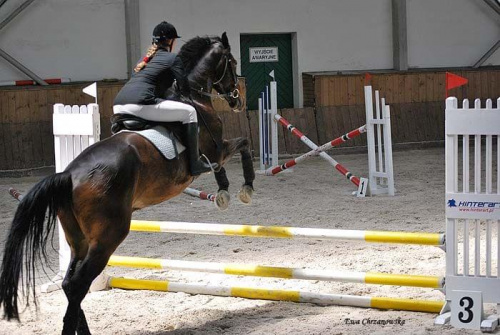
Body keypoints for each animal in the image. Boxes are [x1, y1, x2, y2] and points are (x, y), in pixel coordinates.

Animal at [0, 32, 256, 335]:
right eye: (232, 62)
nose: (237, 101)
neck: (194, 95)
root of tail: (69, 175)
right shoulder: (216, 152)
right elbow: (242, 146)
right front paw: (240, 189)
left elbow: (239, 149)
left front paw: (229, 191)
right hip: (108, 236)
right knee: (78, 284)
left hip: (79, 239)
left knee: (69, 283)